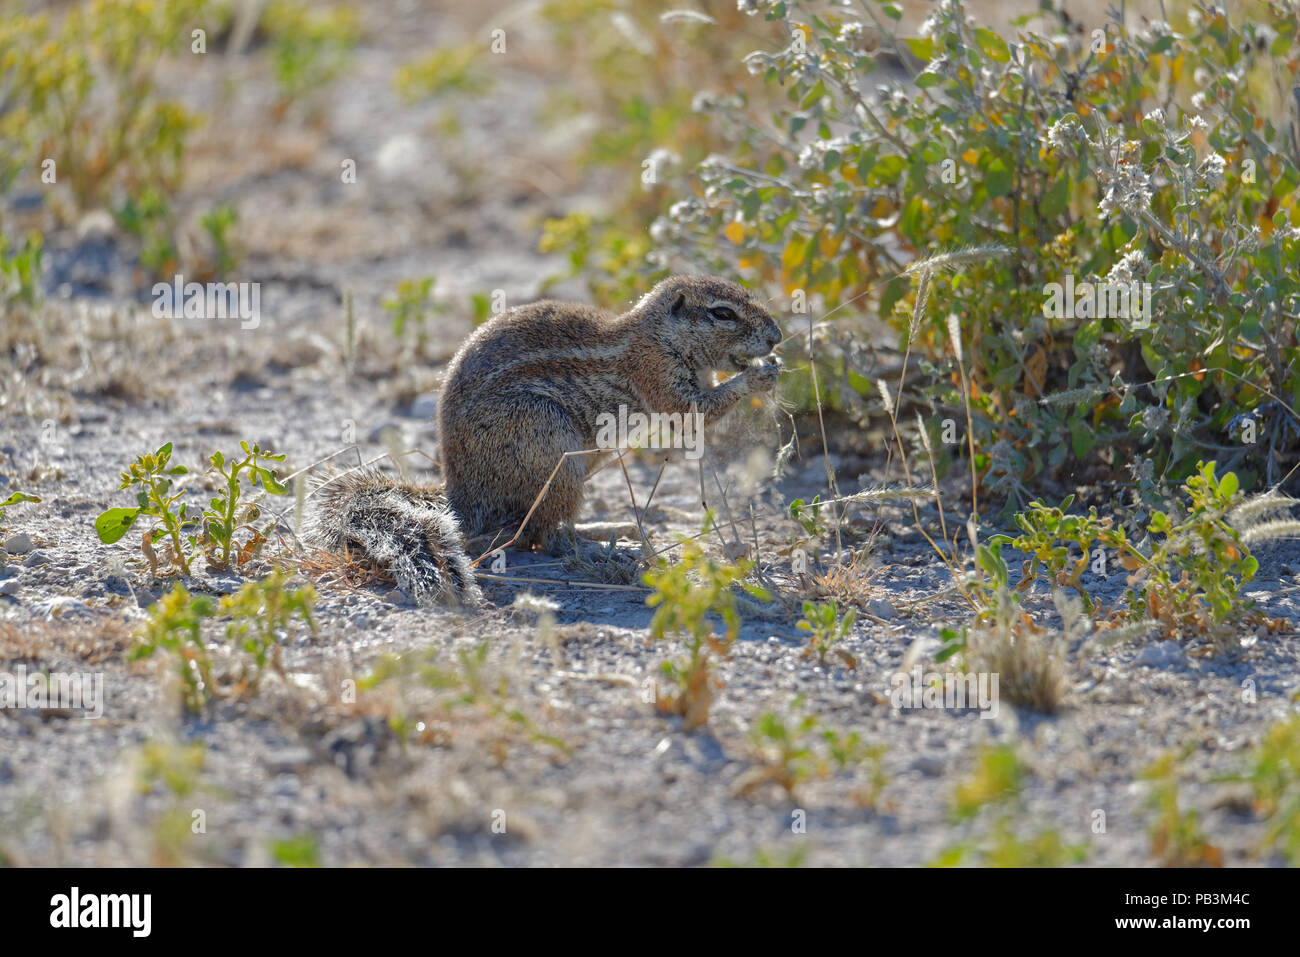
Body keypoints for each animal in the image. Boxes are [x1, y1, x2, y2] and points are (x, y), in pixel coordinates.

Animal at [311, 274, 784, 607]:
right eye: (723, 313)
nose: (777, 336)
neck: (654, 335)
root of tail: (463, 495)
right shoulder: (656, 375)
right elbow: (693, 414)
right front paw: (757, 375)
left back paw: (607, 527)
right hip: (548, 443)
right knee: (544, 536)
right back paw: (597, 548)